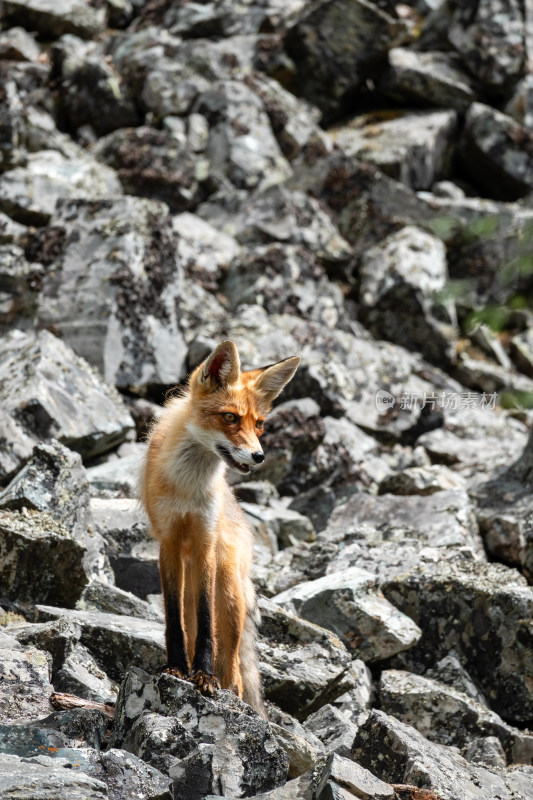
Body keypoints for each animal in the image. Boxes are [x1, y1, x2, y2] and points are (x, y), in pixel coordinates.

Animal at [140, 340, 300, 716]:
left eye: (259, 425)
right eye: (230, 417)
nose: (259, 457)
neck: (188, 488)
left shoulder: (205, 540)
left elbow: (206, 623)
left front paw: (203, 675)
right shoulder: (168, 541)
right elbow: (173, 620)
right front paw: (176, 668)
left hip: (228, 589)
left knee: (235, 670)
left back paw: (229, 691)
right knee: (188, 619)